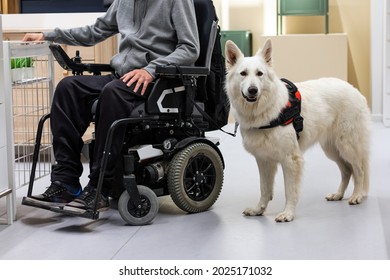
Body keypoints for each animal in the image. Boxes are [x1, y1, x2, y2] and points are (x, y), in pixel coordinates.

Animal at [224, 39, 370, 222]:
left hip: (348, 147)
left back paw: (357, 195)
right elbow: (264, 189)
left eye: (259, 74)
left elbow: (290, 190)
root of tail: (354, 89)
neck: (267, 111)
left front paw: (288, 213)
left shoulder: (291, 160)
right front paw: (259, 210)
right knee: (347, 171)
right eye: (243, 73)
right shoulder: (264, 160)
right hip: (333, 150)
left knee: (359, 170)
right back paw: (338, 194)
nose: (252, 90)